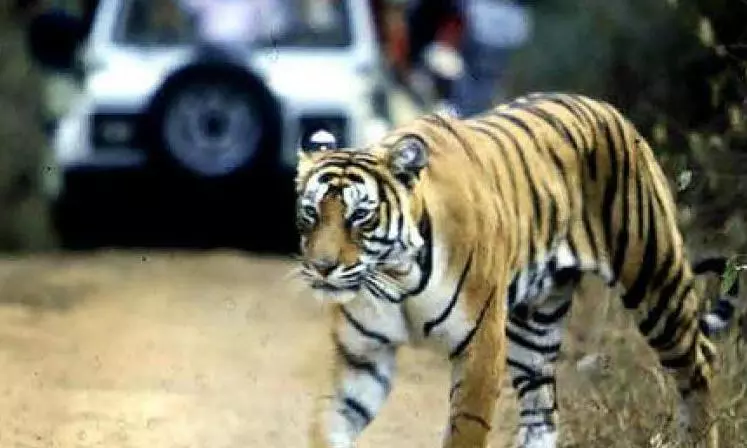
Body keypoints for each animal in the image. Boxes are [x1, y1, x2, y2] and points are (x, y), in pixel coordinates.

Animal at [293, 92, 742, 448]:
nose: (322, 268)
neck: (395, 276)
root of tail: (607, 108)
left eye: (360, 216)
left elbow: (465, 431)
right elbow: (329, 424)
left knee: (700, 363)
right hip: (534, 327)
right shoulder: (362, 357)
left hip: (654, 279)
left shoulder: (480, 347)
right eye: (311, 212)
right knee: (542, 411)